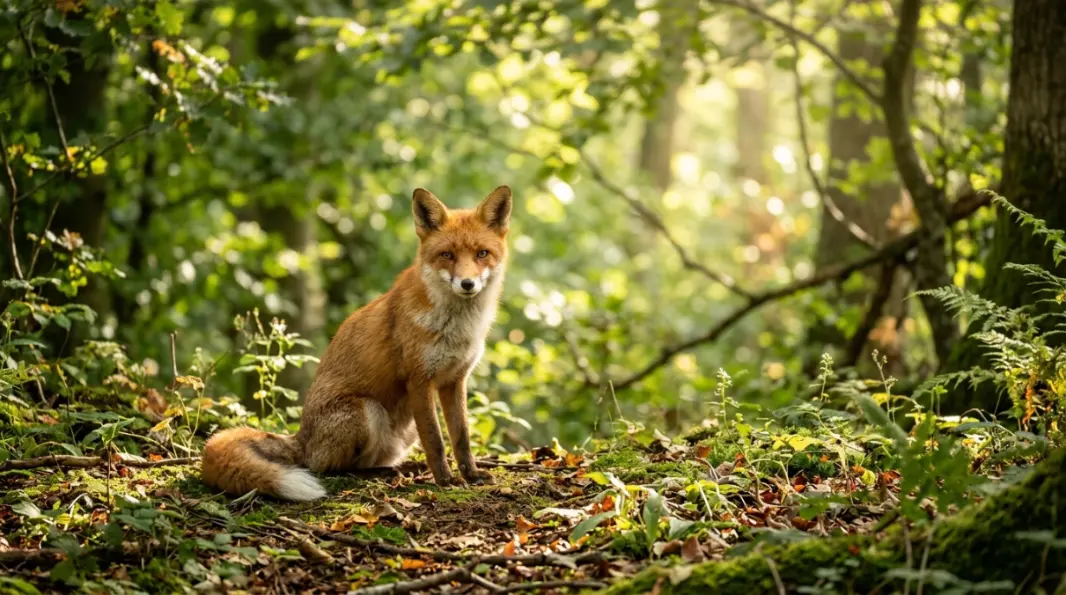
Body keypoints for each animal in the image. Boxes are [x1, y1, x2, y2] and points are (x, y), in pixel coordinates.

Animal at [201, 185, 513, 501]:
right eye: (446, 255)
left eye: (482, 254)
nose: (467, 284)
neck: (458, 327)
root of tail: (301, 439)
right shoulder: (418, 380)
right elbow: (436, 440)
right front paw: (446, 481)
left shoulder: (455, 380)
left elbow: (461, 436)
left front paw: (471, 475)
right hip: (366, 410)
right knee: (332, 469)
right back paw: (382, 474)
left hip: (404, 430)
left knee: (365, 461)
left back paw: (402, 468)